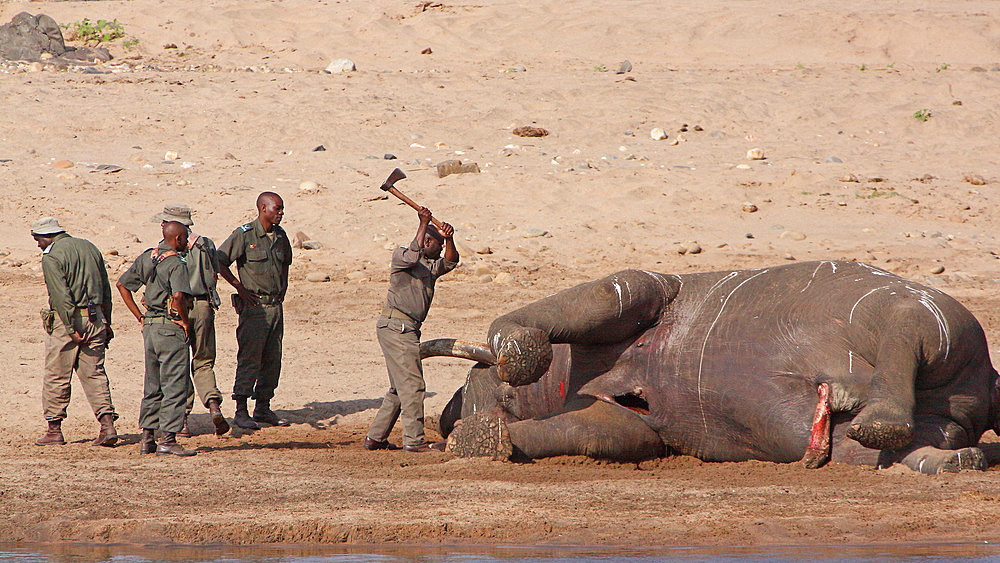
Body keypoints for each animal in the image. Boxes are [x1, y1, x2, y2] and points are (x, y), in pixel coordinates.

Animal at [430, 262, 1000, 474]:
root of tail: (987, 384)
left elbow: (619, 287)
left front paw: (518, 350)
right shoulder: (642, 428)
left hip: (931, 318)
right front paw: (483, 440)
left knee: (905, 330)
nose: (449, 415)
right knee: (905, 442)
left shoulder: (651, 289)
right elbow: (611, 432)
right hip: (942, 378)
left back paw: (880, 419)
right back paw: (951, 457)